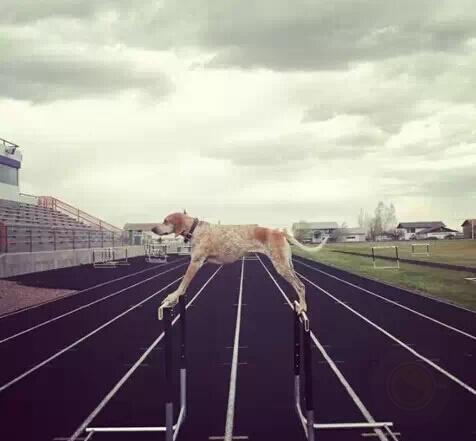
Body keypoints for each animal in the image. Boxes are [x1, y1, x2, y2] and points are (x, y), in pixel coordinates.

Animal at [152, 212, 328, 312]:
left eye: (165, 221)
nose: (153, 228)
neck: (195, 228)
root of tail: (280, 233)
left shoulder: (195, 262)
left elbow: (182, 284)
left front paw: (173, 296)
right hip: (287, 265)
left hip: (281, 266)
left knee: (301, 286)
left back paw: (303, 307)